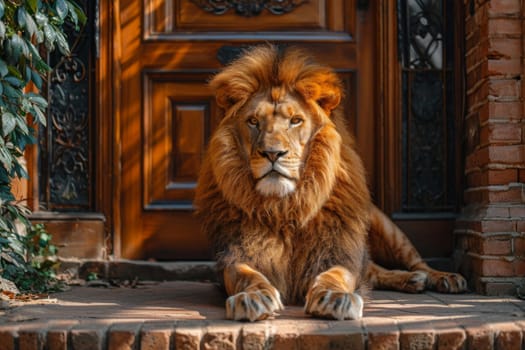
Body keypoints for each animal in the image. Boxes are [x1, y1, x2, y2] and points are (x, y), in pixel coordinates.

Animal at [193, 45, 466, 322]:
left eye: (295, 121)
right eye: (253, 122)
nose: (272, 153)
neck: (286, 207)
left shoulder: (337, 251)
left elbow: (337, 275)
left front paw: (334, 298)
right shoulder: (236, 253)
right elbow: (246, 275)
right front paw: (253, 297)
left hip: (387, 228)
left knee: (411, 261)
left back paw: (442, 277)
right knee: (373, 271)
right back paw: (410, 280)